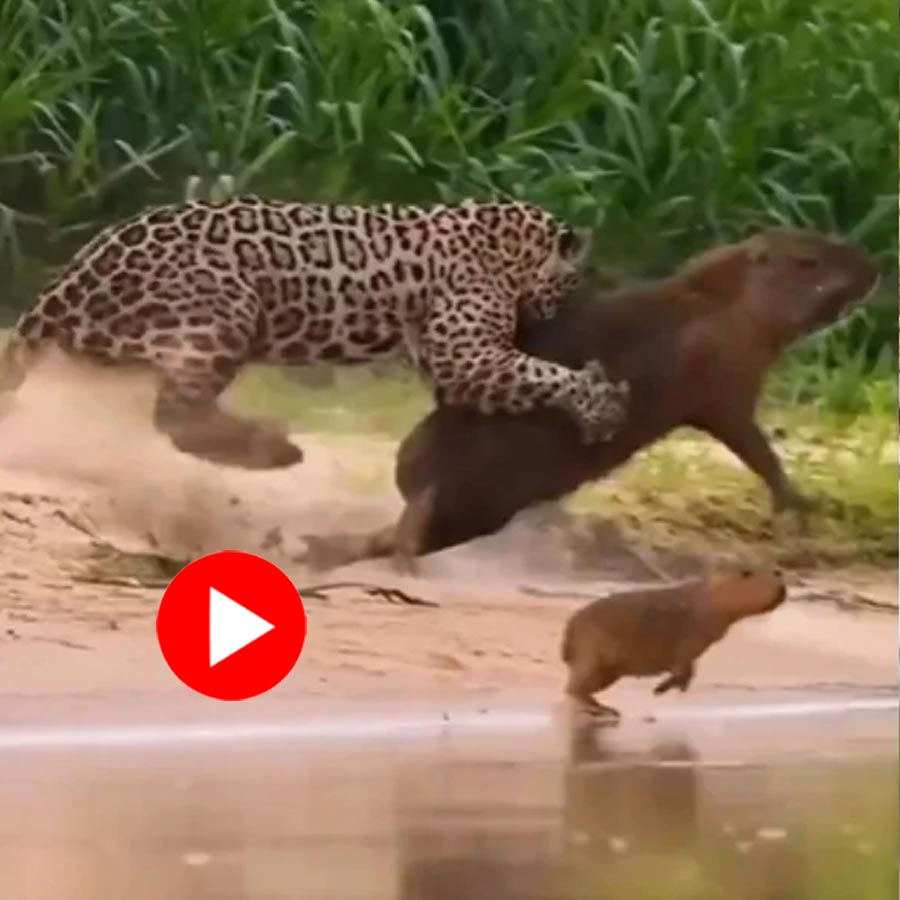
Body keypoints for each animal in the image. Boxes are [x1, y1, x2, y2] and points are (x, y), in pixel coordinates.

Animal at [0, 196, 629, 468]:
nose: (569, 312)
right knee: (175, 416)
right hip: (223, 311)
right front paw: (599, 403)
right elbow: (541, 372)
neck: (515, 248)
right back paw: (273, 448)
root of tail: (64, 286)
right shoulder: (465, 353)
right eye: (574, 284)